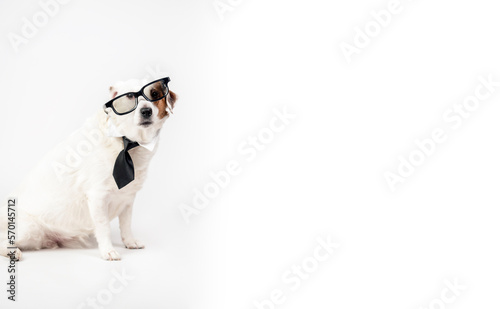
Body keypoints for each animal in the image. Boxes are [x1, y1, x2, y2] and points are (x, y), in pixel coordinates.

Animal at [0, 77, 178, 260]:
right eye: (129, 96)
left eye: (155, 93)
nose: (146, 111)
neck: (126, 143)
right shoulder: (98, 196)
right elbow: (104, 227)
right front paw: (108, 250)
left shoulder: (128, 198)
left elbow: (126, 224)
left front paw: (130, 242)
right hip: (29, 229)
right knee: (3, 240)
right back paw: (13, 252)